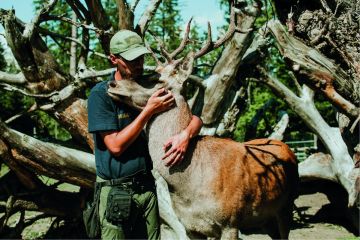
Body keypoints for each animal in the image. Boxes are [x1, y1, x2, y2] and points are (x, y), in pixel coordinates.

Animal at [106, 8, 298, 239]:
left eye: (155, 79)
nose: (112, 83)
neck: (187, 185)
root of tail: (288, 149)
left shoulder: (231, 221)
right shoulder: (189, 226)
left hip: (286, 206)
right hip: (264, 218)